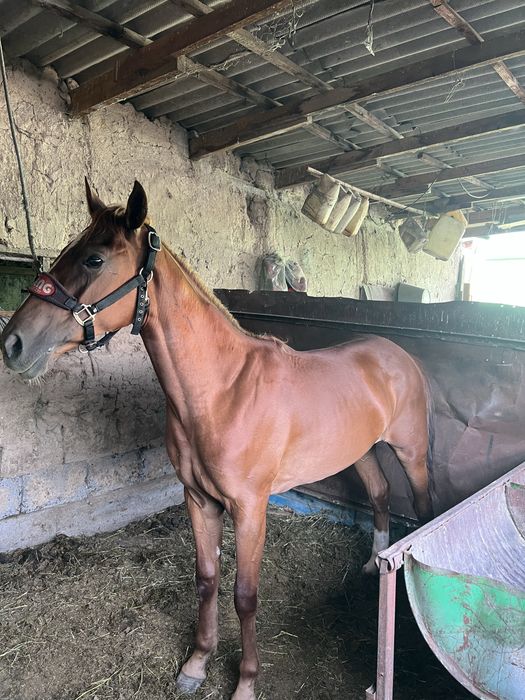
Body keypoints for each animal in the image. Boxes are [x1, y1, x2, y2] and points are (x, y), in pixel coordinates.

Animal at [1, 181, 433, 700]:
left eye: (94, 260)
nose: (12, 343)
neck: (223, 391)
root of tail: (397, 354)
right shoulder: (199, 499)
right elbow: (207, 580)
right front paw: (196, 663)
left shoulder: (250, 509)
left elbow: (245, 596)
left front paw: (245, 681)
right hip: (361, 451)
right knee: (380, 495)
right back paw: (371, 565)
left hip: (411, 452)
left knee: (422, 505)